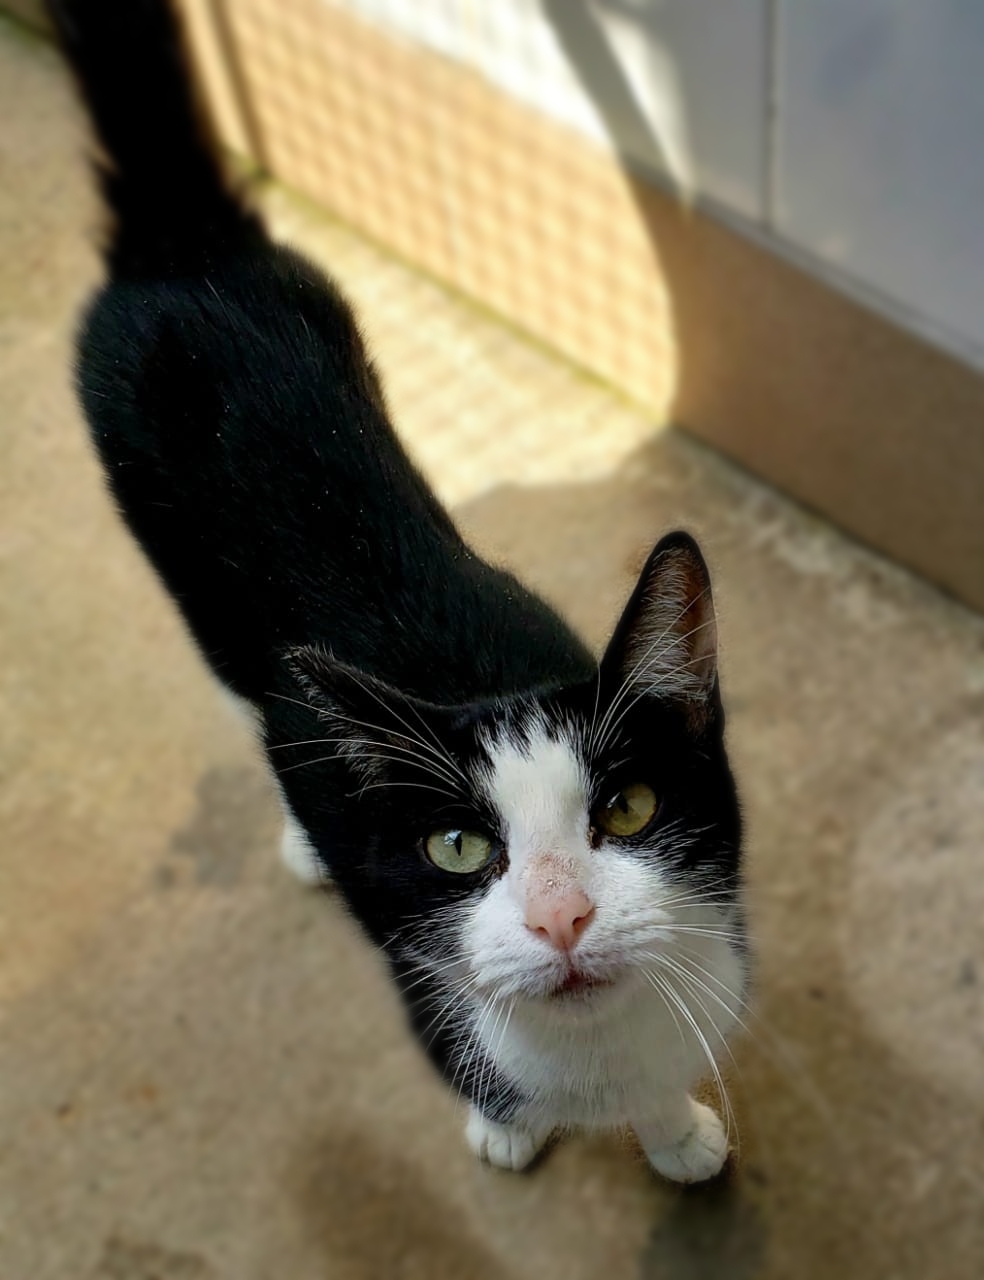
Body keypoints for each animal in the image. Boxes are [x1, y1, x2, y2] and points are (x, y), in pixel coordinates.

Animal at [47, 0, 747, 1177]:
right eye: (458, 847)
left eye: (631, 807)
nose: (561, 918)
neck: (592, 1043)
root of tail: (182, 246)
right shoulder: (428, 987)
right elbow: (490, 1074)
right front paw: (508, 1127)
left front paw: (673, 1129)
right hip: (172, 551)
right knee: (242, 691)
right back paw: (298, 831)